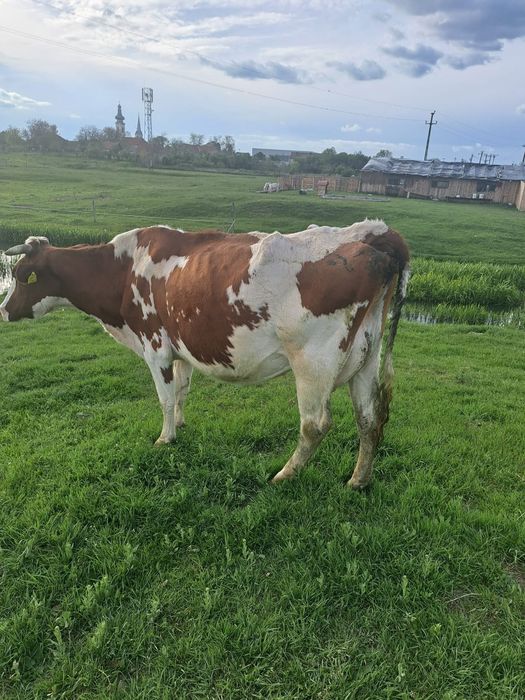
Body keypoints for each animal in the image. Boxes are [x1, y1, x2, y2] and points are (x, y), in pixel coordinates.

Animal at [1, 220, 409, 488]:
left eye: (21, 277)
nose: (3, 310)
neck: (123, 269)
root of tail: (377, 233)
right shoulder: (181, 348)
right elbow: (182, 391)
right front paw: (181, 425)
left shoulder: (155, 345)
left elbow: (165, 398)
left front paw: (165, 438)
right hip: (366, 358)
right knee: (370, 419)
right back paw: (358, 480)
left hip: (314, 362)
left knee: (315, 424)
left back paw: (285, 474)